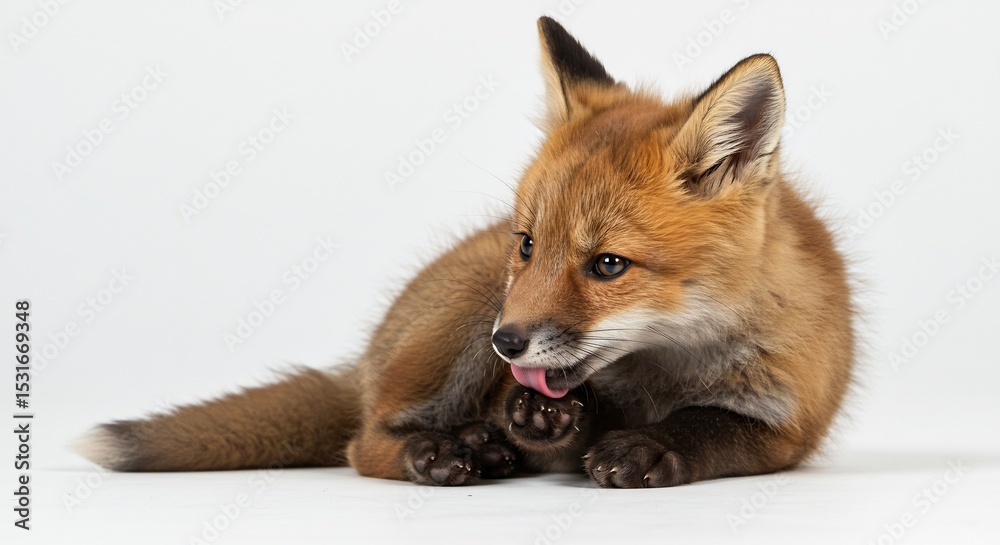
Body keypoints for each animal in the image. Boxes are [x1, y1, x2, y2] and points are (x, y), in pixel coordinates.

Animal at [77, 16, 854, 488]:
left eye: (608, 265)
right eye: (529, 243)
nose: (507, 343)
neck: (662, 368)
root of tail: (364, 363)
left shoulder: (787, 426)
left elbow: (710, 430)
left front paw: (649, 445)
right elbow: (554, 432)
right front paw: (547, 421)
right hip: (464, 317)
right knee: (362, 442)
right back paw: (446, 450)